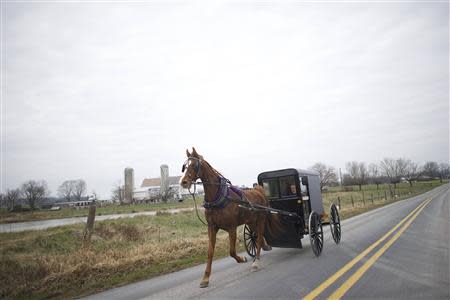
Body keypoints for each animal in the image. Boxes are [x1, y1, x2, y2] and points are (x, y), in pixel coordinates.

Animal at [180, 148, 270, 288]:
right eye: (184, 166)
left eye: (194, 165)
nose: (184, 182)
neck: (219, 197)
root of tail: (259, 191)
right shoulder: (212, 228)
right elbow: (210, 252)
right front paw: (205, 278)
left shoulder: (231, 228)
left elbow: (232, 251)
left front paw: (242, 259)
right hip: (251, 220)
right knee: (256, 235)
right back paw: (263, 248)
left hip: (261, 219)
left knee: (259, 237)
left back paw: (256, 261)